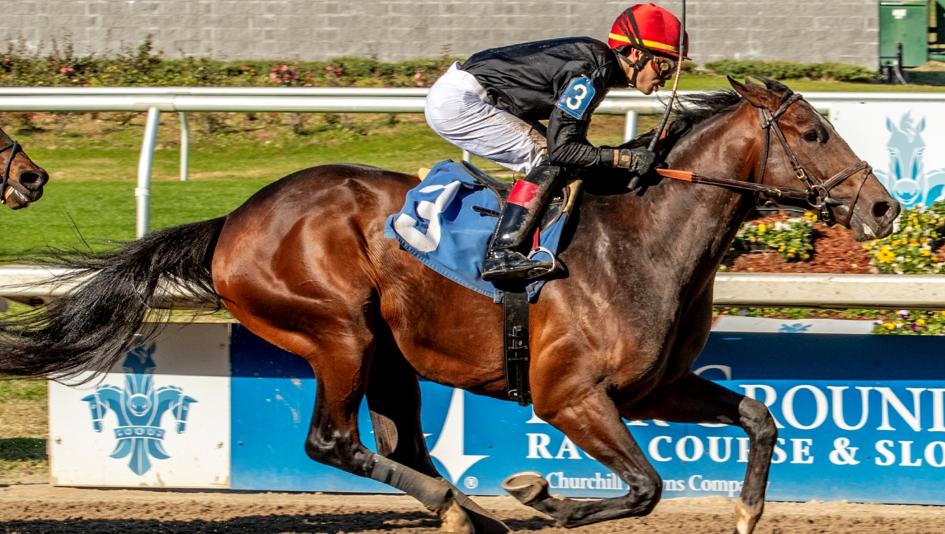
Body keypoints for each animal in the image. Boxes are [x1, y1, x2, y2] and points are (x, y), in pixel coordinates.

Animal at [0, 77, 898, 533]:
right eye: (813, 132)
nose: (883, 208)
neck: (641, 239)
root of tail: (236, 220)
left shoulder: (655, 387)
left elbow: (758, 416)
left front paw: (747, 511)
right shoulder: (569, 397)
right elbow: (643, 487)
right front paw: (539, 496)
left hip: (391, 353)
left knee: (403, 442)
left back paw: (465, 514)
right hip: (337, 331)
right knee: (332, 440)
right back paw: (461, 512)